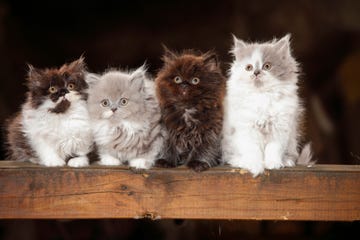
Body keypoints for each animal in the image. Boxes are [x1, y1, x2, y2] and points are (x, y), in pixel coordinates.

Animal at [222, 34, 312, 176]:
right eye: (249, 67)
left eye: (267, 66)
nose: (256, 72)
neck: (262, 95)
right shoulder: (247, 129)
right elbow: (253, 151)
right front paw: (256, 166)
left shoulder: (280, 127)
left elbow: (273, 148)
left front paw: (273, 164)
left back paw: (286, 161)